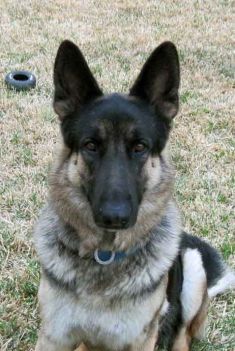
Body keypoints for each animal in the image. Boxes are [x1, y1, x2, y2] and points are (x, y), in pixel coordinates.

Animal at [33, 40, 235, 351]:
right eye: (90, 145)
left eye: (140, 147)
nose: (114, 217)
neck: (105, 255)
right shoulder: (55, 336)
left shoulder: (140, 340)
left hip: (193, 266)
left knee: (183, 334)